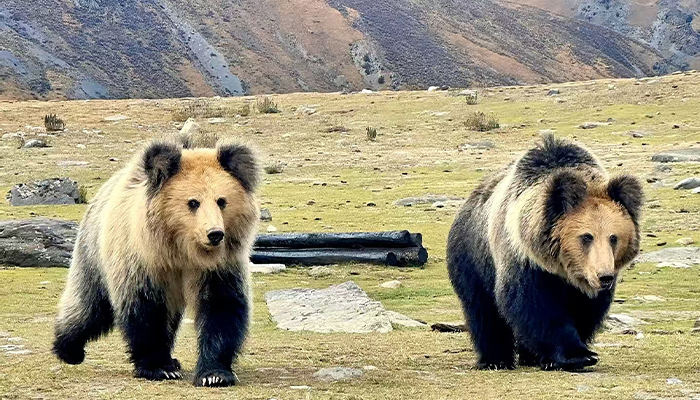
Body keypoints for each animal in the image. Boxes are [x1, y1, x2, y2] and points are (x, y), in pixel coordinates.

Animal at [52, 139, 260, 387]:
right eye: (193, 202)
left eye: (222, 201)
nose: (215, 234)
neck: (183, 251)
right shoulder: (143, 261)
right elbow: (145, 310)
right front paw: (158, 368)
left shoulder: (220, 267)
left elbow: (221, 308)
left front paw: (214, 374)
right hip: (94, 250)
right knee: (90, 306)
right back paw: (68, 348)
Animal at [446, 134, 643, 371]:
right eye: (587, 236)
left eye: (613, 237)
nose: (604, 277)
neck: (563, 269)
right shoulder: (525, 261)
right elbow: (536, 306)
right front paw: (576, 355)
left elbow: (585, 311)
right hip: (474, 257)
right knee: (484, 312)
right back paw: (495, 359)